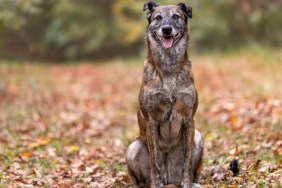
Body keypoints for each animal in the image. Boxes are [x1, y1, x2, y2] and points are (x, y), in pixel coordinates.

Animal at [126, 1, 204, 187]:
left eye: (176, 16)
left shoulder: (189, 119)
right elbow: (155, 162)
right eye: (158, 17)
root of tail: (170, 178)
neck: (168, 66)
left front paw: (187, 184)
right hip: (133, 147)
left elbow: (187, 160)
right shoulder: (152, 121)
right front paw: (156, 183)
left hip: (198, 137)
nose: (166, 29)